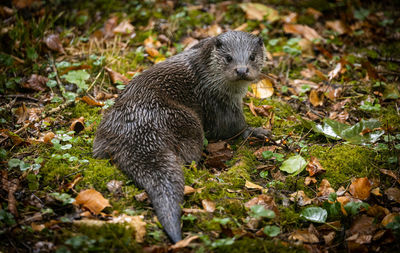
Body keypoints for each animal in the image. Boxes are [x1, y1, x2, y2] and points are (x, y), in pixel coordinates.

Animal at [93, 30, 268, 242]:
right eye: (228, 58)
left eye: (252, 56)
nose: (242, 70)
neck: (207, 76)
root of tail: (140, 129)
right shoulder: (217, 102)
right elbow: (233, 127)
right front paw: (257, 131)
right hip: (188, 121)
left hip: (105, 130)